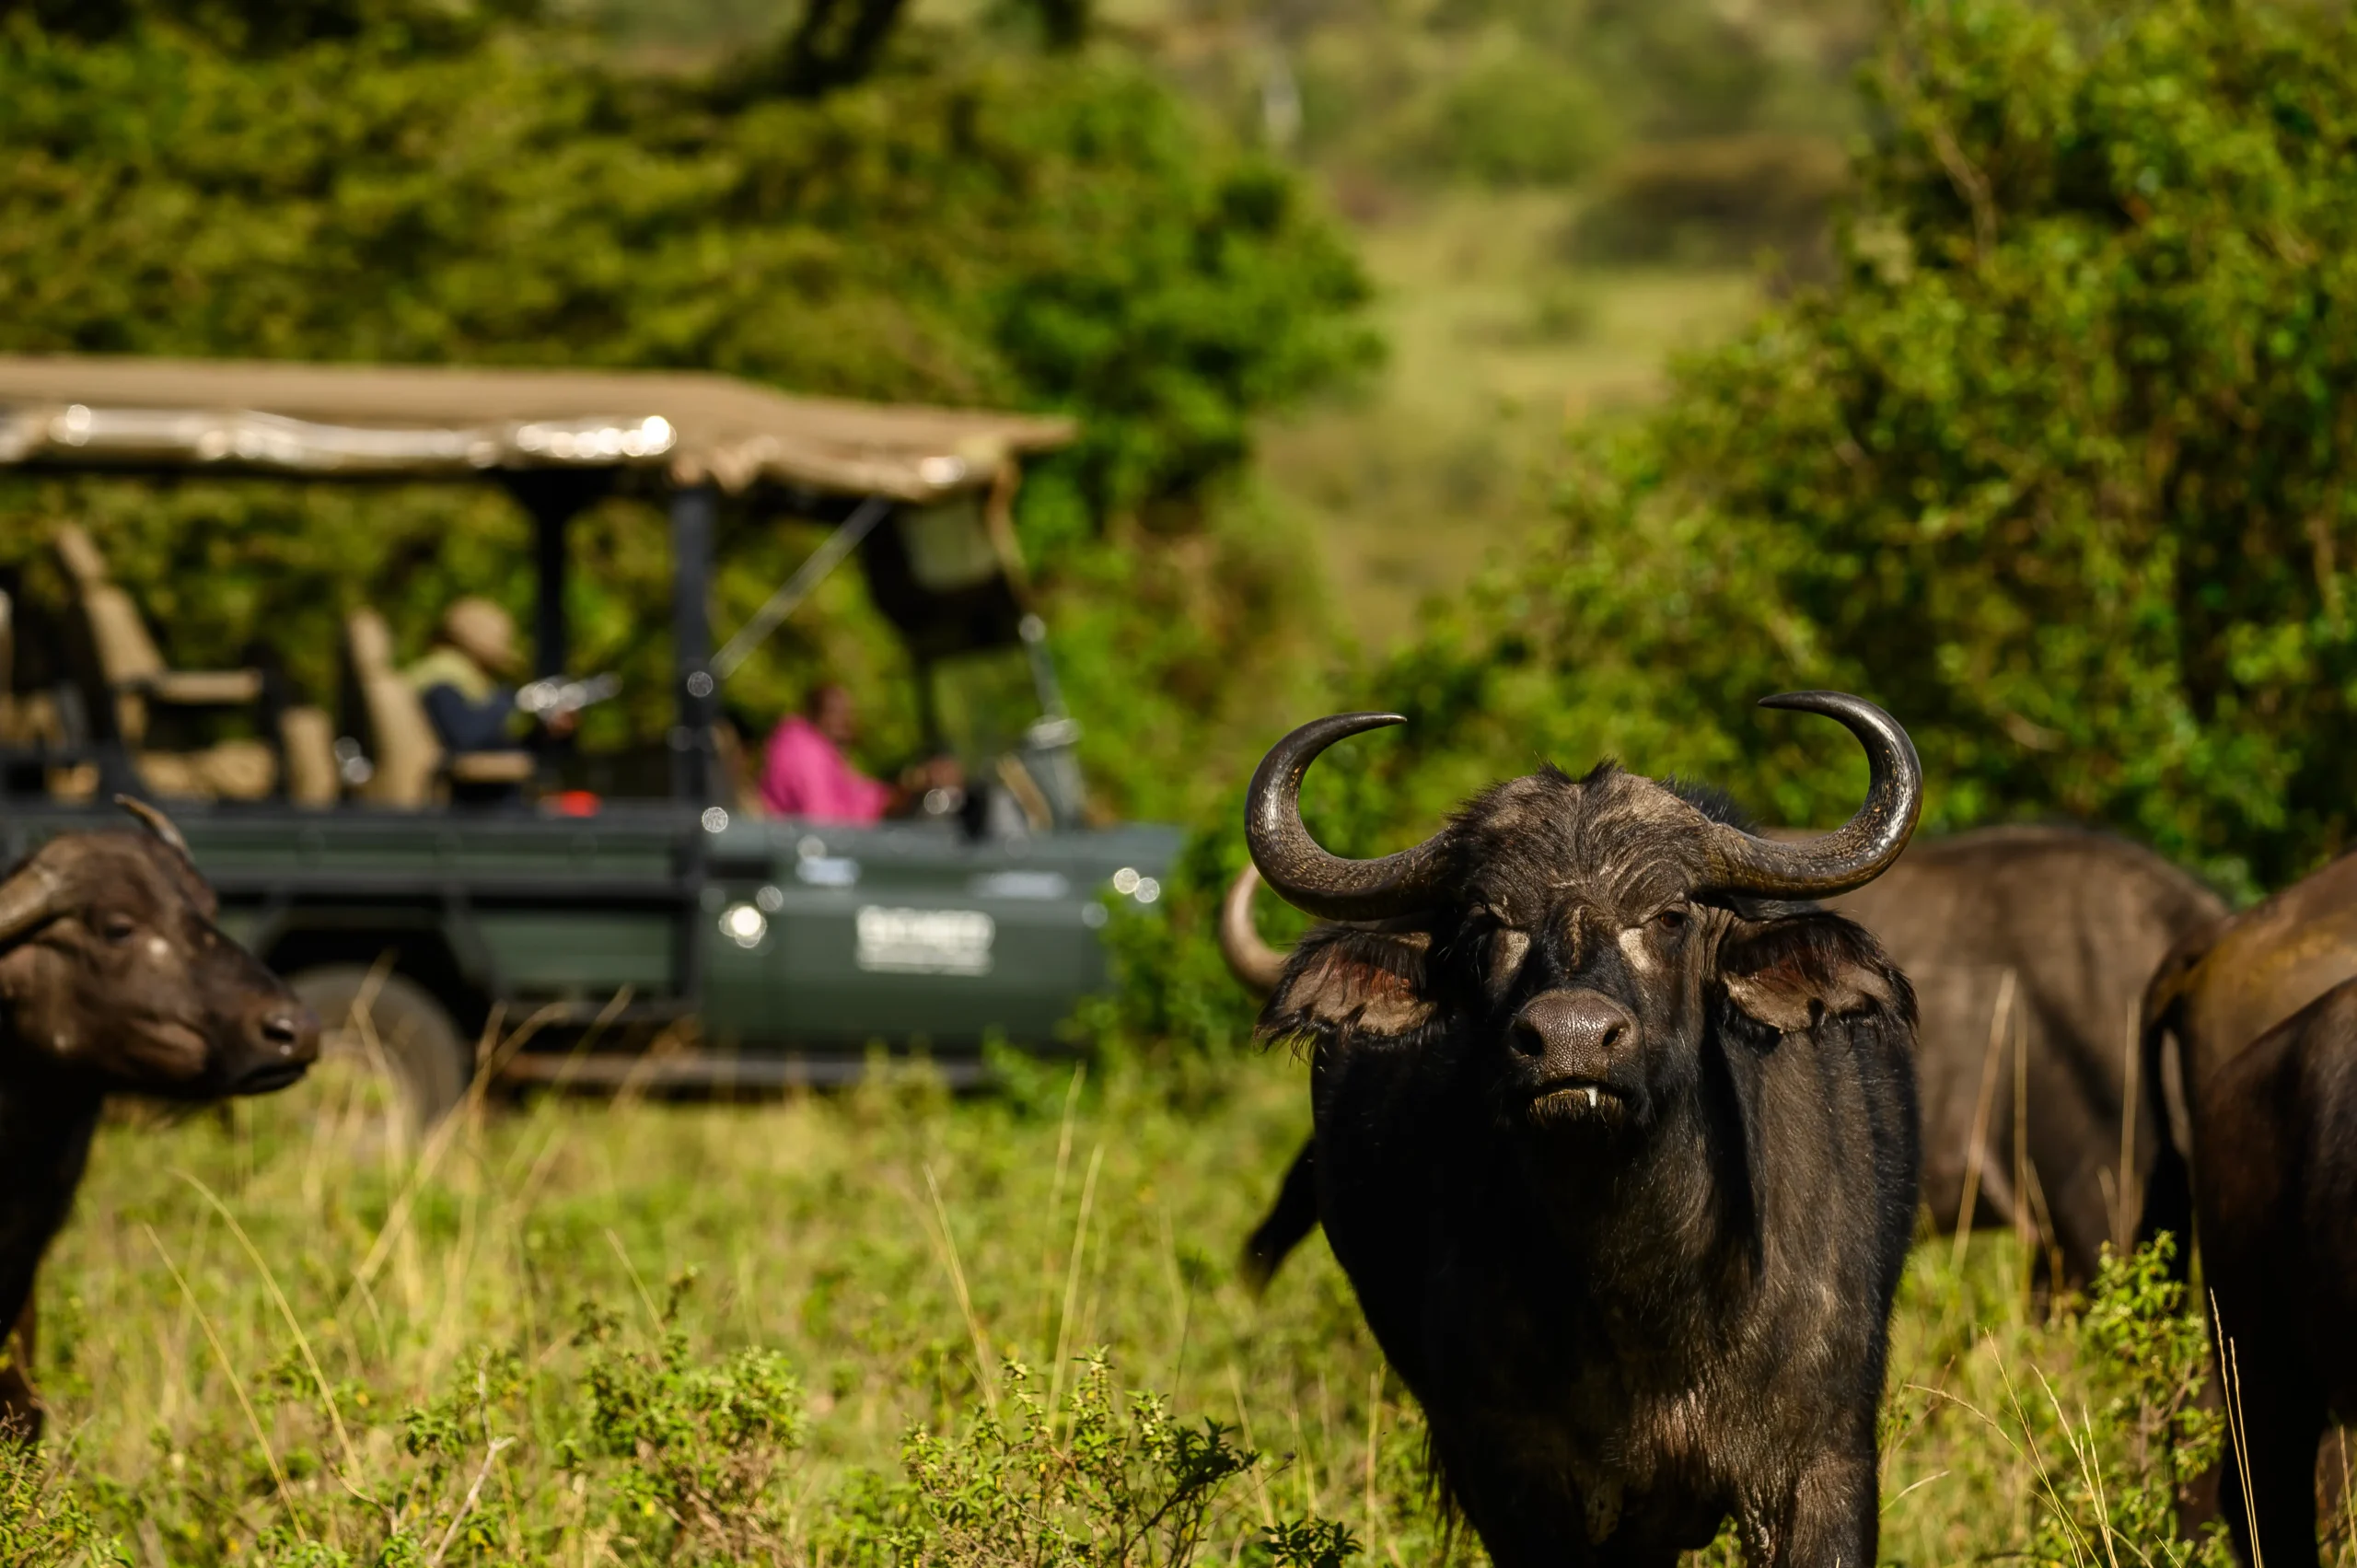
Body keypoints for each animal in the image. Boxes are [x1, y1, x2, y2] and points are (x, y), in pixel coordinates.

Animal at [1244, 692, 1922, 1566]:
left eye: (1669, 914)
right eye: (1486, 920)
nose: (1569, 1039)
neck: (1648, 1298)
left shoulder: (1823, 1462)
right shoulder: (1512, 1473)